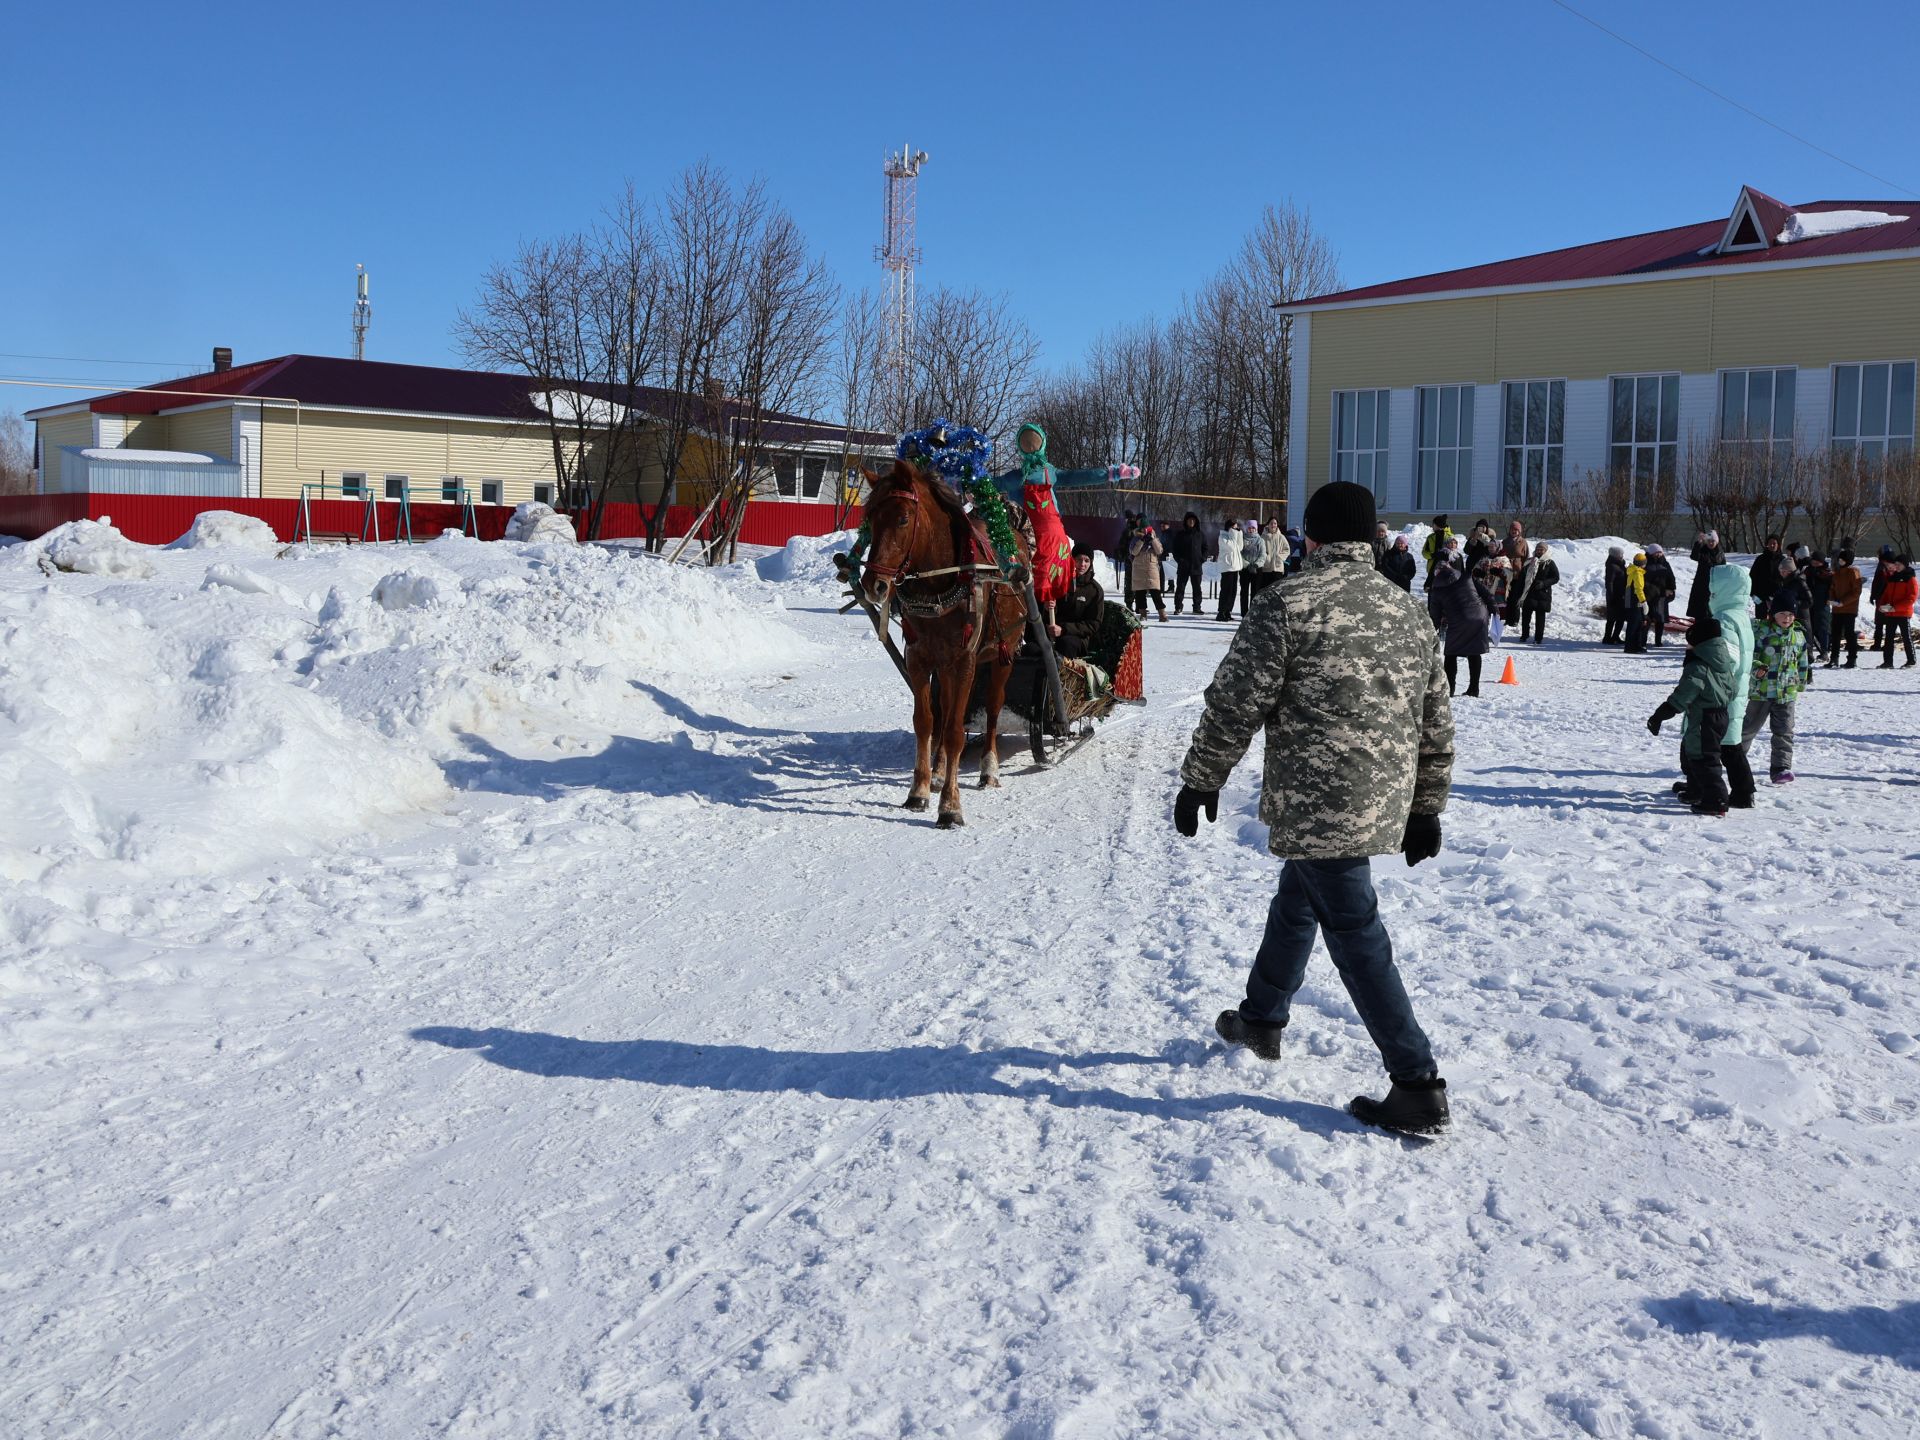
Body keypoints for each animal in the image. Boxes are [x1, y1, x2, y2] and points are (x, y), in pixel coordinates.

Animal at [860, 456, 1029, 829]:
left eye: (902, 518)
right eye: (869, 518)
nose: (873, 585)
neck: (938, 586)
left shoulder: (966, 659)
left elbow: (953, 731)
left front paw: (950, 806)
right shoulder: (920, 658)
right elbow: (926, 721)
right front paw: (920, 790)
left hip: (1003, 656)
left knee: (992, 708)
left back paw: (988, 769)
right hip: (945, 666)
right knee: (947, 707)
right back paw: (938, 771)